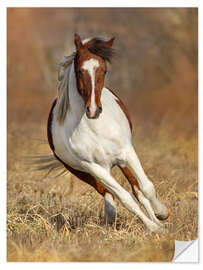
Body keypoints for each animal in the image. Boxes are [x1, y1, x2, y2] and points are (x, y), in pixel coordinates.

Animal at [46, 33, 170, 232]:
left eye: (104, 71)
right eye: (80, 71)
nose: (93, 110)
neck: (95, 127)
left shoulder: (127, 152)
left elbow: (146, 188)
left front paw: (162, 215)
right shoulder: (93, 167)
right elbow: (126, 199)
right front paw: (154, 228)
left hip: (121, 162)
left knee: (137, 190)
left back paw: (157, 218)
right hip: (86, 173)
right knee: (110, 193)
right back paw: (113, 215)